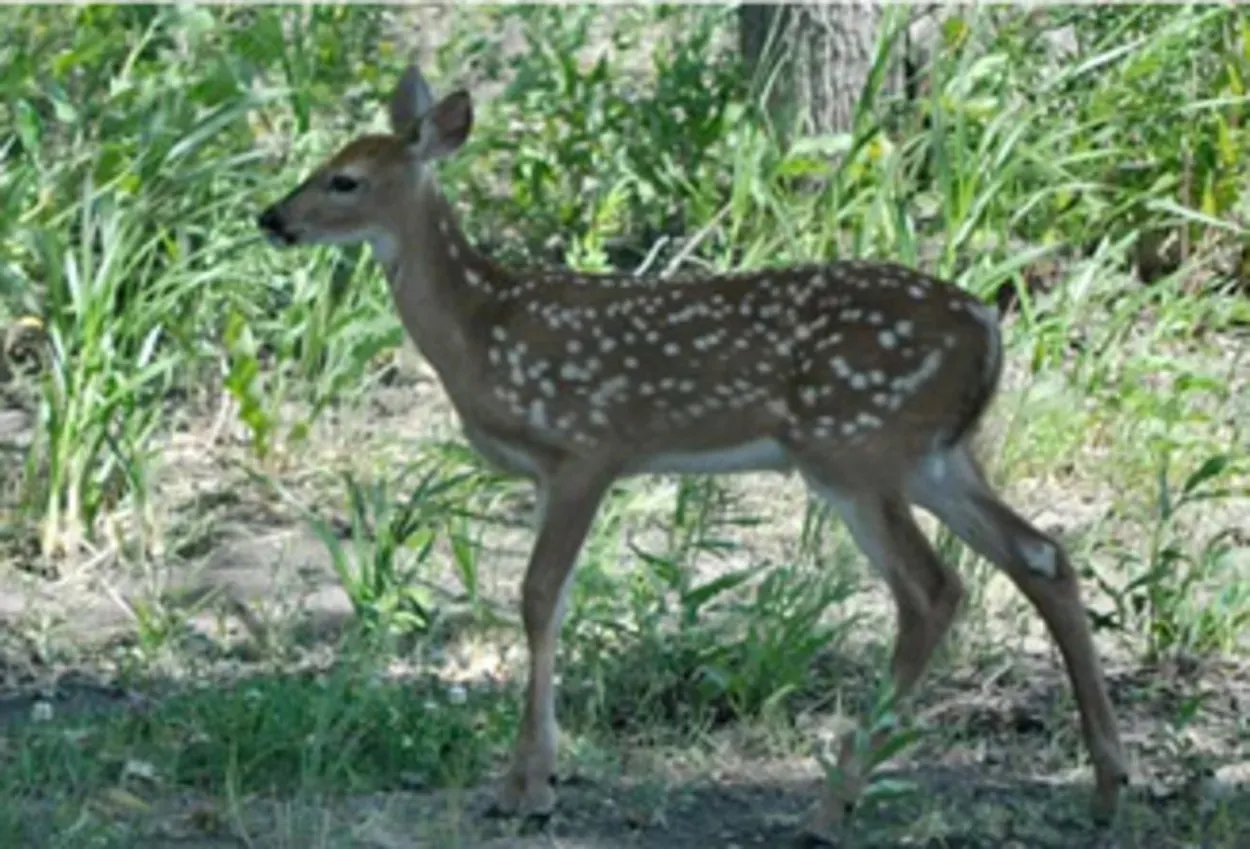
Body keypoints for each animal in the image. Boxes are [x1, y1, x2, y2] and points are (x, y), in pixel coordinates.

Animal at [256, 60, 1128, 843]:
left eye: (345, 179)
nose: (271, 218)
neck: (480, 327)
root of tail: (988, 328)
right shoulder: (549, 472)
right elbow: (552, 603)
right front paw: (529, 778)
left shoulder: (589, 446)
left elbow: (538, 596)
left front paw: (529, 788)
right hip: (935, 455)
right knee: (1041, 554)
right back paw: (1106, 785)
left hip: (854, 447)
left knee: (933, 589)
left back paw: (829, 807)